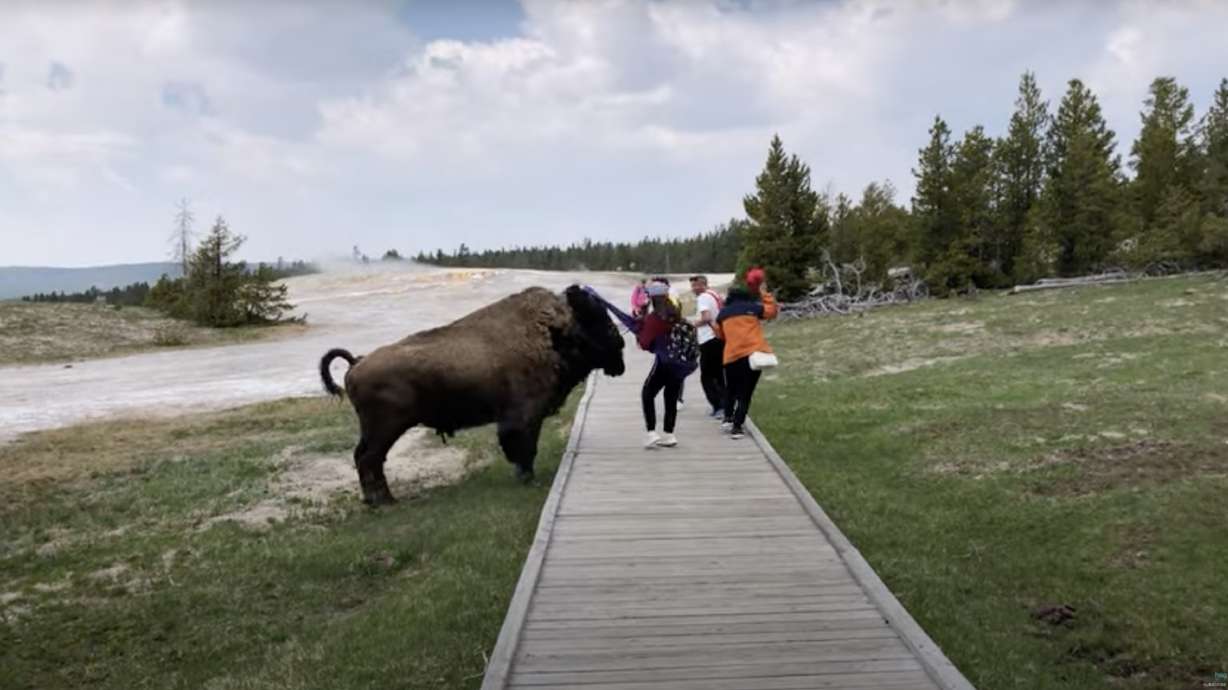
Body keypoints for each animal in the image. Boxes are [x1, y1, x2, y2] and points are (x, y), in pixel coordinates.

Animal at [319, 284, 626, 505]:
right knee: (369, 458)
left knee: (364, 457)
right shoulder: (522, 417)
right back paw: (384, 501)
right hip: (386, 427)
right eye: (601, 323)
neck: (553, 333)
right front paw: (528, 479)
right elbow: (524, 449)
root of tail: (357, 362)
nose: (620, 345)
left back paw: (378, 500)